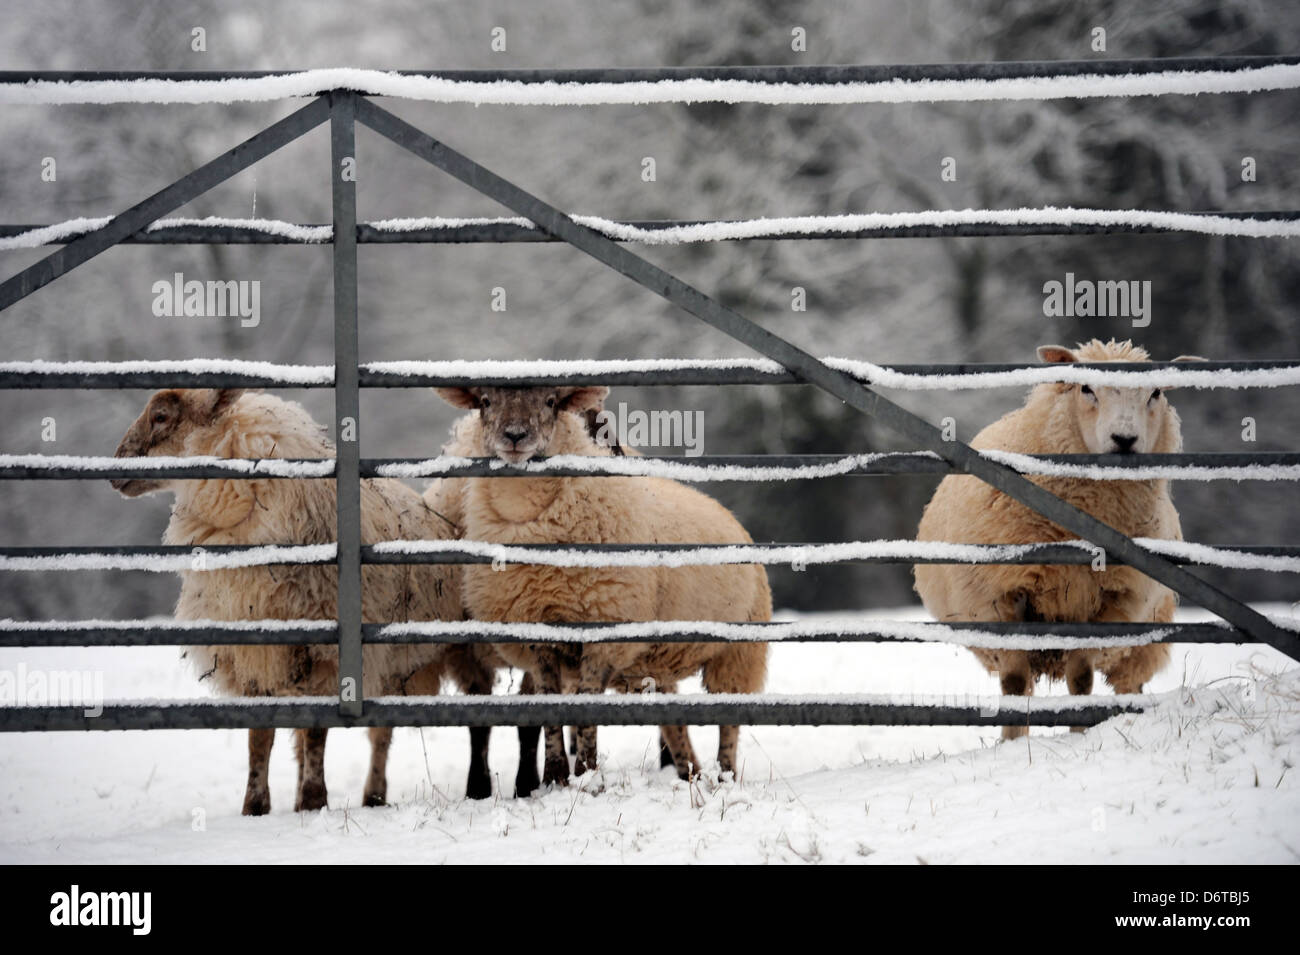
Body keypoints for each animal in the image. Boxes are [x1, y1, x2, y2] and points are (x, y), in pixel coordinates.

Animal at [113, 389, 483, 815]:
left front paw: (313, 798)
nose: (114, 469)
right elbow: (261, 737)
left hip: (412, 663)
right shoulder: (253, 653)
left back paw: (372, 794)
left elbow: (317, 732)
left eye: (160, 416)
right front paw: (256, 806)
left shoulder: (326, 654)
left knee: (382, 734)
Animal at [434, 382, 769, 789]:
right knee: (674, 723)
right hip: (659, 661)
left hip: (739, 650)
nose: (514, 436)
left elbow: (587, 710)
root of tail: (730, 516)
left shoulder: (604, 634)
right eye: (485, 401)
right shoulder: (536, 637)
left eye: (552, 402)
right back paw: (689, 773)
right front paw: (555, 778)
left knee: (728, 720)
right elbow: (545, 714)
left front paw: (586, 776)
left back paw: (723, 776)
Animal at [909, 343, 1201, 738]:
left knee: (1130, 683)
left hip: (1142, 637)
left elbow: (1081, 679)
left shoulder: (1105, 605)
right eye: (1085, 388)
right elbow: (1015, 683)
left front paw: (1079, 734)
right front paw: (1012, 741)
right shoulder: (1002, 599)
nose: (1124, 440)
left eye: (1156, 393)